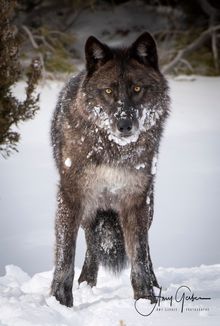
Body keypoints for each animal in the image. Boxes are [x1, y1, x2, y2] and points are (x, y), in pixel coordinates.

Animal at [50, 31, 170, 306]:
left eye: (137, 88)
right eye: (108, 90)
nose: (124, 125)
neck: (113, 149)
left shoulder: (135, 200)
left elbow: (139, 257)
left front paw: (146, 298)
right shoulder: (71, 196)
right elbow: (65, 255)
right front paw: (60, 301)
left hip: (149, 206)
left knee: (145, 250)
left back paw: (155, 284)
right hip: (91, 208)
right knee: (92, 245)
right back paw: (86, 283)